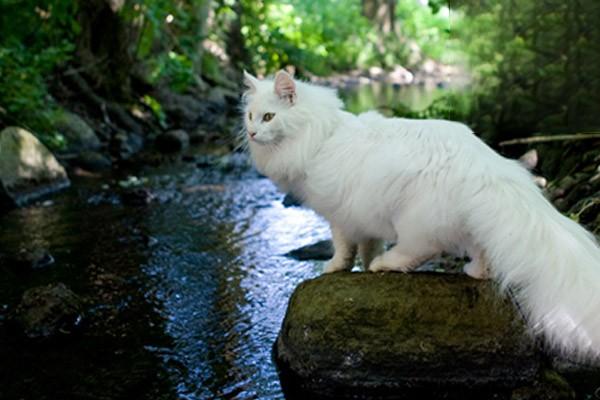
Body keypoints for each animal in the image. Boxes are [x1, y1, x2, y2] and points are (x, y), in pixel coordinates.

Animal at [241, 70, 600, 360]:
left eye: (269, 117)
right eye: (249, 116)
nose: (251, 133)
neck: (322, 135)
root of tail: (486, 164)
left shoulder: (340, 217)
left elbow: (343, 248)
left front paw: (335, 268)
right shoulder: (366, 220)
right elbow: (366, 247)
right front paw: (361, 266)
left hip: (415, 222)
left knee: (418, 251)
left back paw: (386, 265)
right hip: (467, 223)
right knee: (483, 257)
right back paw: (473, 271)